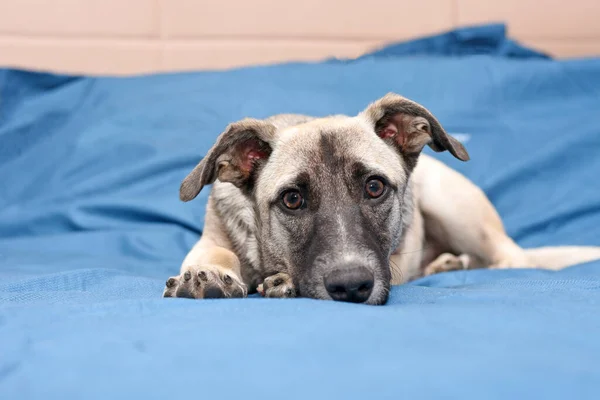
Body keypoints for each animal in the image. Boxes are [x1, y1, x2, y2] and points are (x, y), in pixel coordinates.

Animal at [161, 94, 600, 304]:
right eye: (292, 200)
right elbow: (217, 253)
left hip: (453, 206)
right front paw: (209, 275)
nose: (351, 286)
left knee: (510, 259)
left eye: (375, 187)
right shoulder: (213, 238)